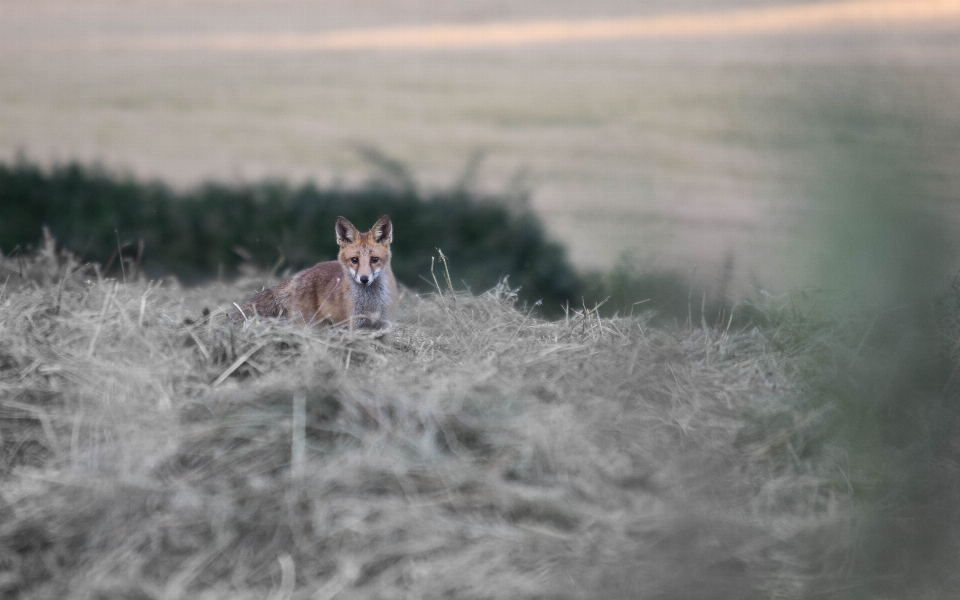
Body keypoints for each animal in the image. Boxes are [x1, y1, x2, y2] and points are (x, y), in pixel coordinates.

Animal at [231, 214, 396, 328]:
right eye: (354, 260)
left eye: (374, 259)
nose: (364, 279)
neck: (372, 303)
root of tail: (303, 273)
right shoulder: (356, 326)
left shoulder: (385, 327)